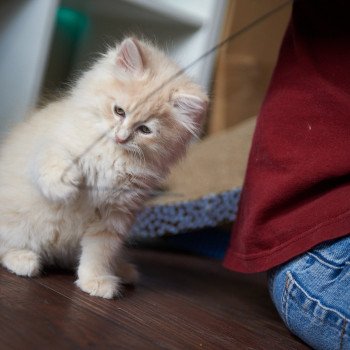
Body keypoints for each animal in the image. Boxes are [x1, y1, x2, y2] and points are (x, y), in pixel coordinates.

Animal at [0, 37, 208, 298]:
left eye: (144, 130)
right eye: (119, 111)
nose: (121, 136)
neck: (114, 156)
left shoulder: (115, 214)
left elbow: (99, 253)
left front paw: (95, 282)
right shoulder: (54, 143)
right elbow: (55, 159)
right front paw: (64, 189)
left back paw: (123, 271)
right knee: (5, 248)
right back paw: (24, 260)